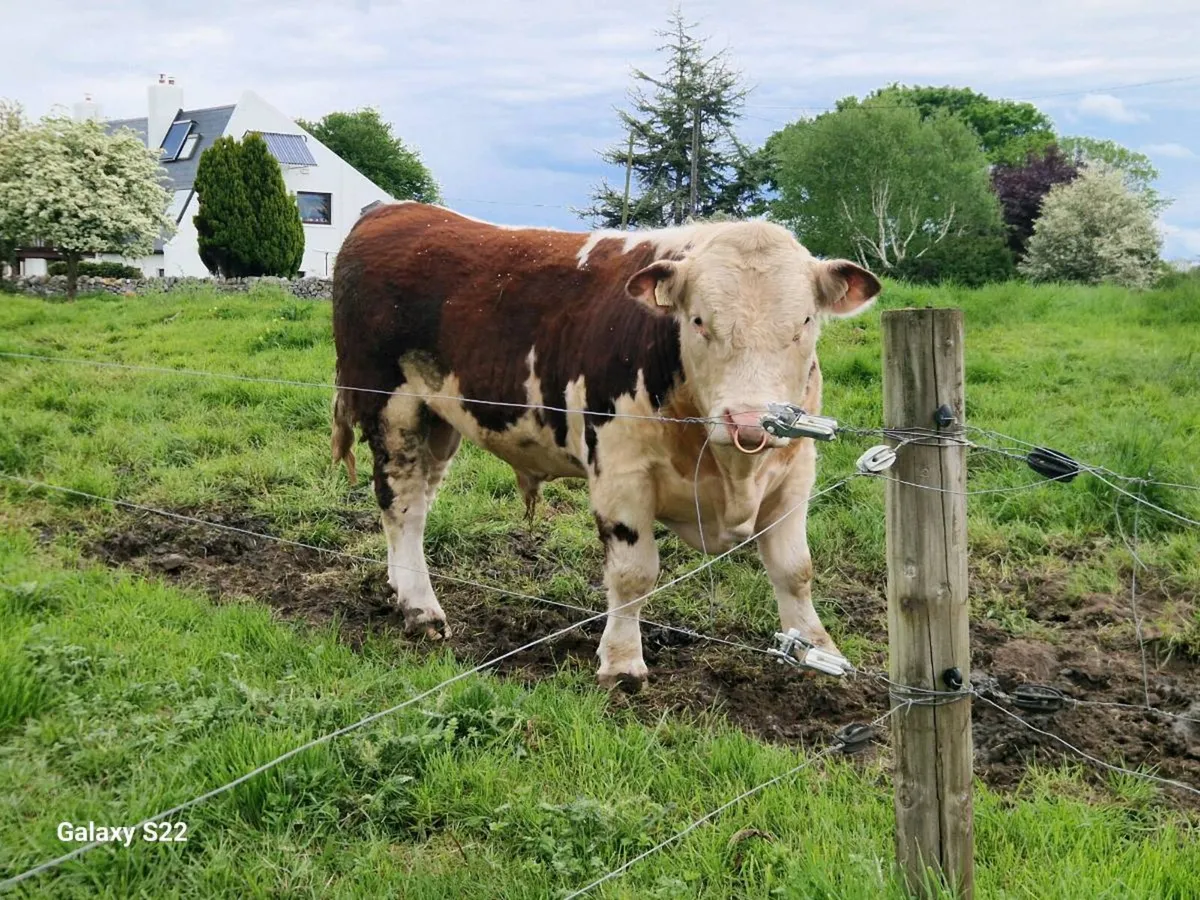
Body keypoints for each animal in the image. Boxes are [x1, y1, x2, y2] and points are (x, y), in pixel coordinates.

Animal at [329, 201, 880, 691]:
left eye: (804, 323)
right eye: (698, 320)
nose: (749, 422)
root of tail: (392, 209)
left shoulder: (796, 471)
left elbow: (795, 570)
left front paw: (818, 651)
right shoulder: (621, 474)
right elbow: (634, 575)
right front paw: (621, 663)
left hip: (440, 420)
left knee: (420, 504)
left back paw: (401, 585)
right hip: (391, 406)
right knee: (400, 503)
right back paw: (421, 608)